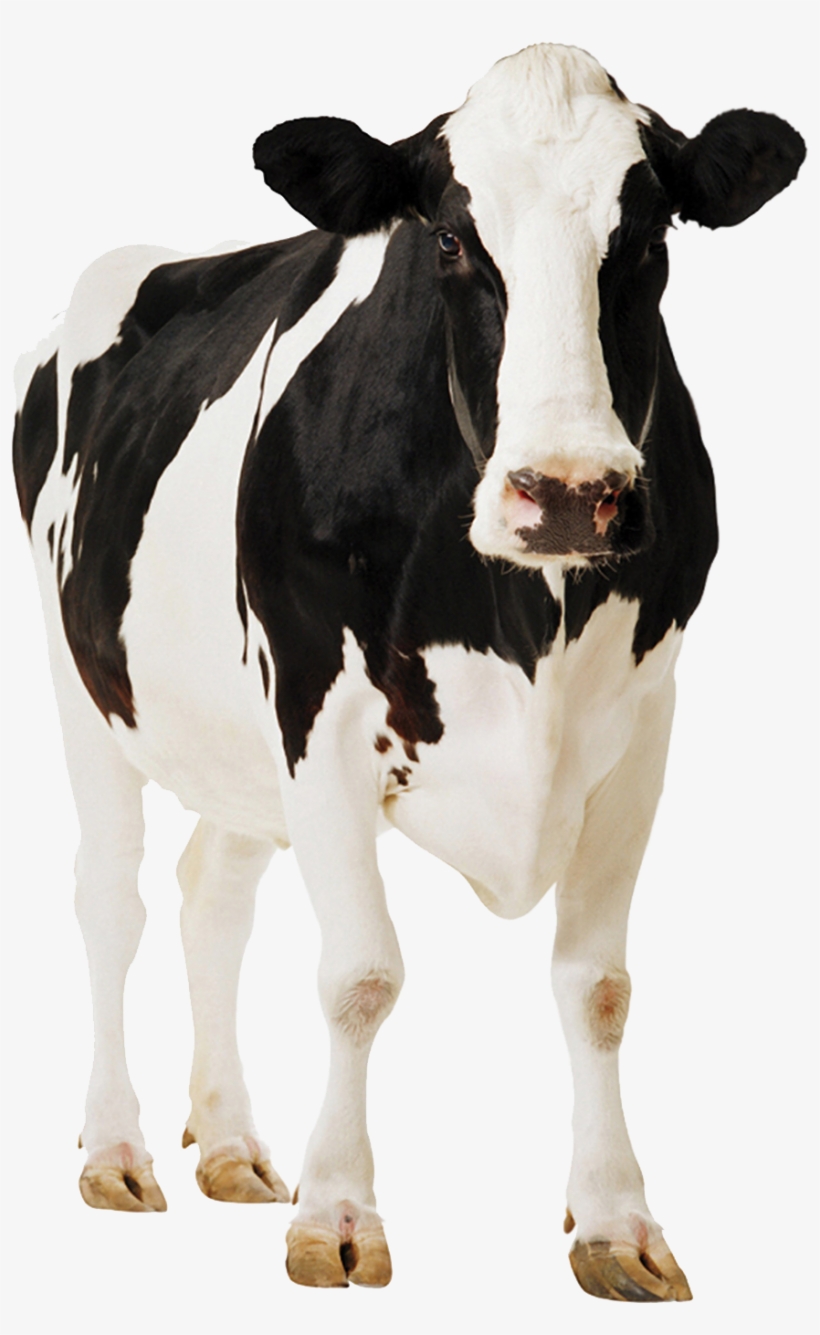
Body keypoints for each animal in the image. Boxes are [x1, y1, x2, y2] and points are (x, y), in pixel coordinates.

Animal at [12, 43, 804, 1300]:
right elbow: (360, 975)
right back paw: (116, 1151)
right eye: (446, 239)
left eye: (647, 236)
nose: (569, 492)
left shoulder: (643, 725)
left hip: (235, 738)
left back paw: (228, 1143)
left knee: (211, 895)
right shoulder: (317, 710)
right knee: (109, 897)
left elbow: (599, 986)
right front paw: (337, 1214)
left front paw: (616, 1222)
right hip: (81, 677)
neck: (523, 612)